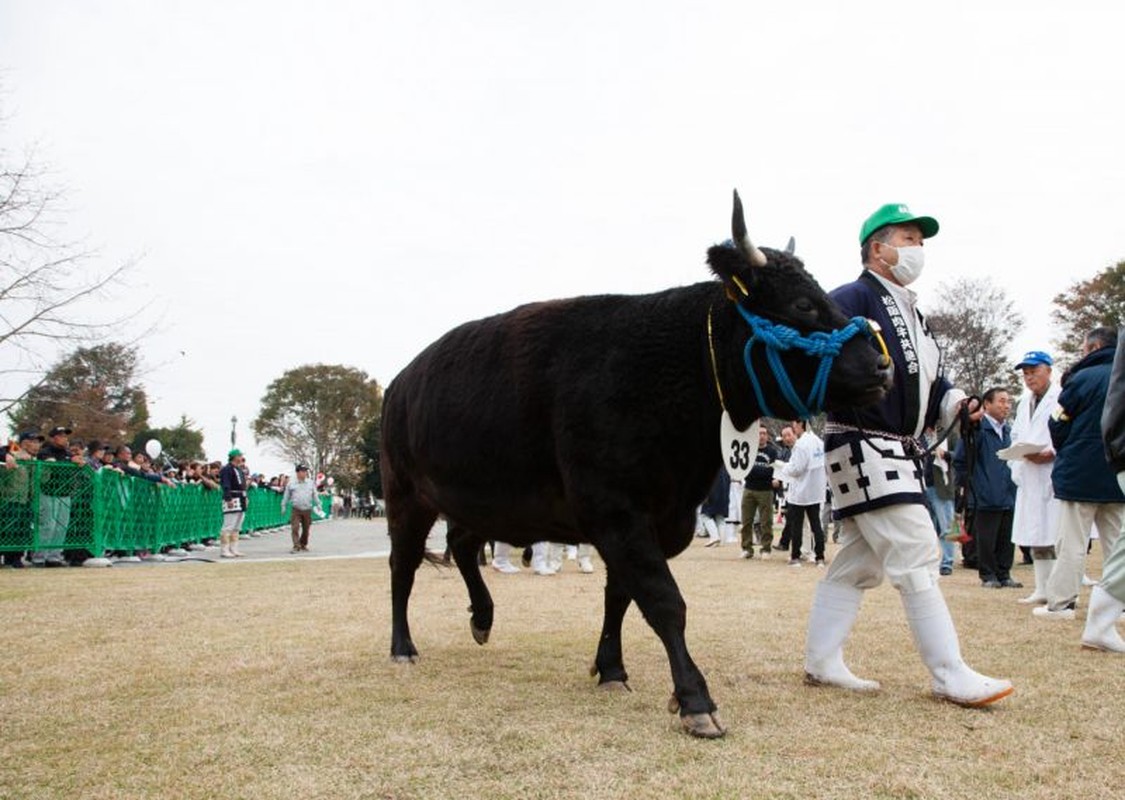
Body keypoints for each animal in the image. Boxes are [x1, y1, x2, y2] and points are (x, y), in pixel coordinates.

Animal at [382, 193, 891, 738]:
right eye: (802, 304)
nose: (882, 366)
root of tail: (400, 380)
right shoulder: (616, 511)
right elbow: (664, 600)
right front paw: (694, 699)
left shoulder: (656, 519)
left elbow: (621, 596)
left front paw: (611, 669)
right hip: (406, 496)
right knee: (403, 566)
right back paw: (403, 647)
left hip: (480, 499)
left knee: (461, 543)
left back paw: (482, 618)